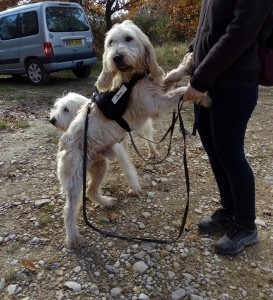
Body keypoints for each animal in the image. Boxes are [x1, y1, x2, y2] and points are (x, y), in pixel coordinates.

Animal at [58, 19, 210, 248]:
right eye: (111, 43)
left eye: (128, 38)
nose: (116, 57)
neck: (132, 77)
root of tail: (63, 143)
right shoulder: (155, 103)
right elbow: (179, 91)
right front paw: (199, 94)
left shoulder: (155, 88)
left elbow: (171, 76)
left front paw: (187, 64)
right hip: (75, 179)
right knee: (69, 208)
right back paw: (73, 238)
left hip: (100, 166)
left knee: (91, 190)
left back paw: (105, 202)